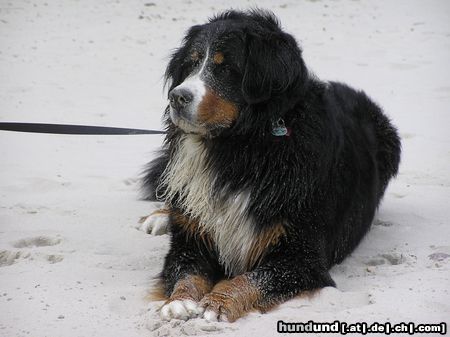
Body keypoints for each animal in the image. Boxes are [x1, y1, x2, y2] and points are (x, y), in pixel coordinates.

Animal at [141, 9, 400, 322]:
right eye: (191, 64)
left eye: (226, 68)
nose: (177, 97)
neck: (241, 150)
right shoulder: (192, 239)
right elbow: (185, 270)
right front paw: (179, 301)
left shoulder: (300, 256)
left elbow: (251, 279)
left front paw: (218, 303)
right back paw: (160, 216)